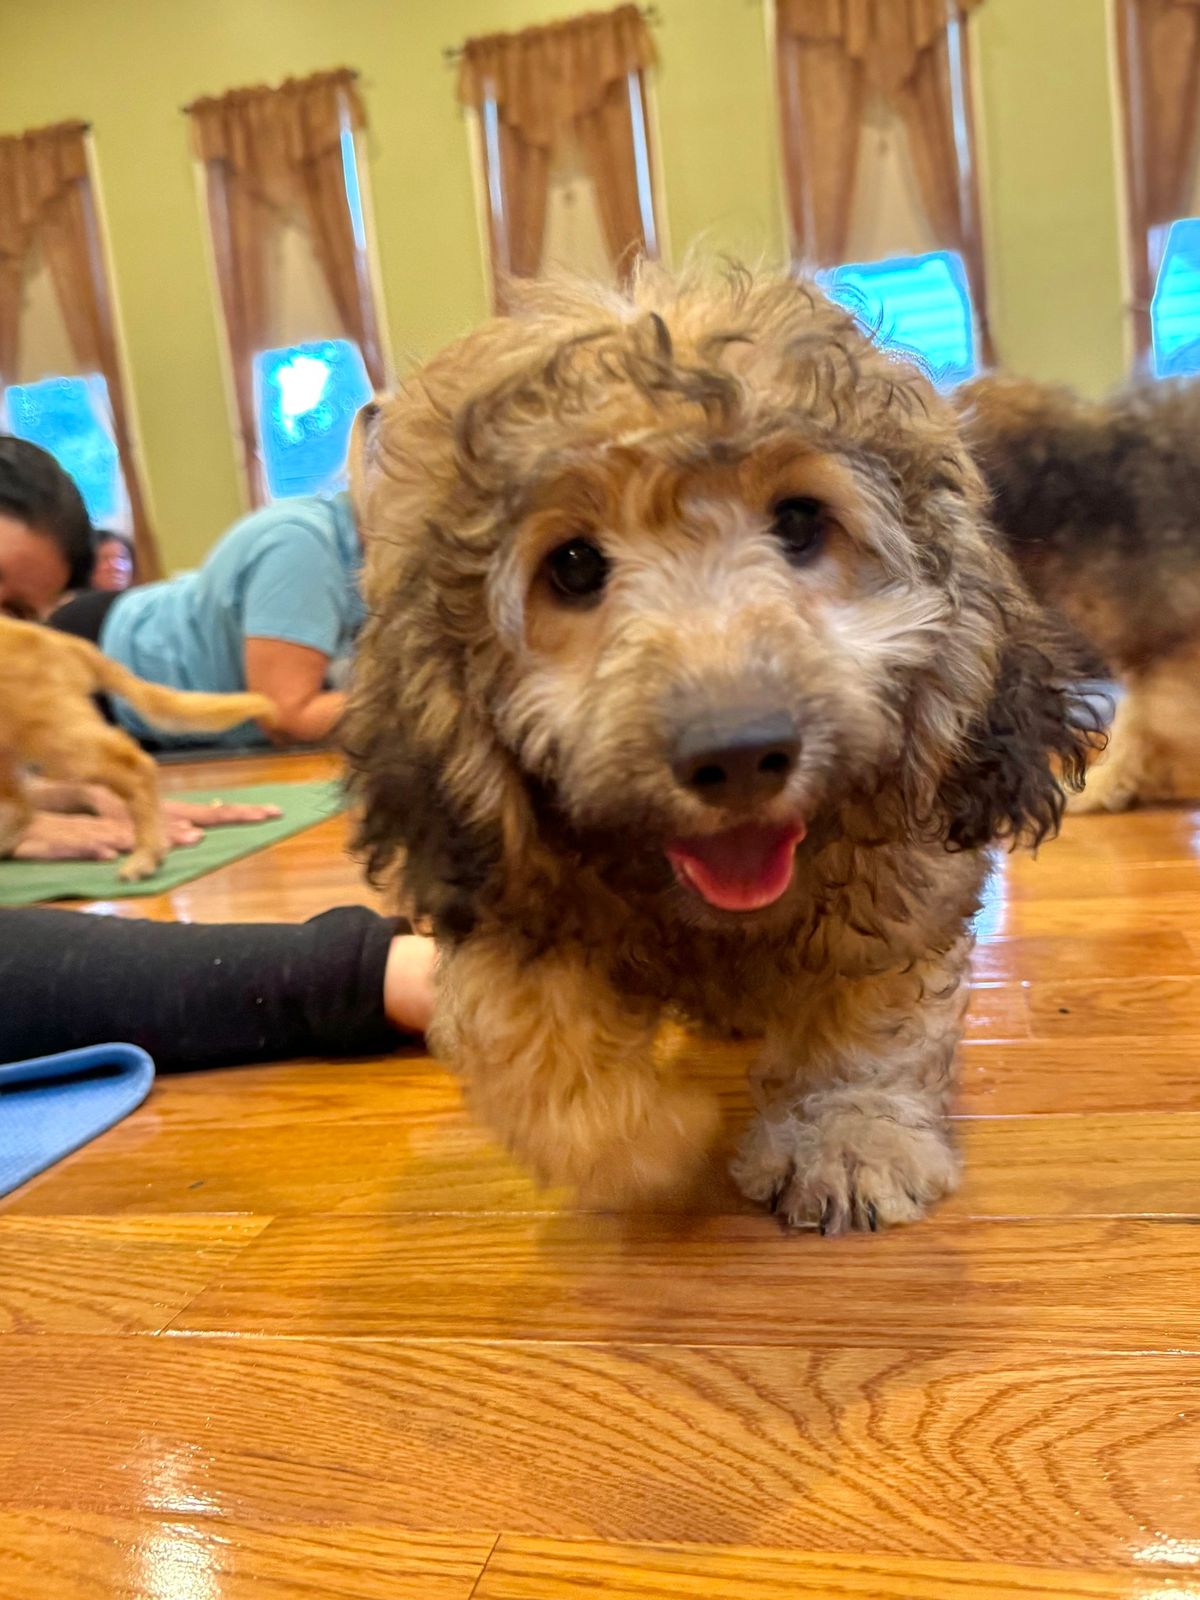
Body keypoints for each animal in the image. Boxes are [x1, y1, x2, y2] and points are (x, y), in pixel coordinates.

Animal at [345, 268, 1100, 1228]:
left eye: (801, 521)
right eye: (574, 566)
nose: (739, 754)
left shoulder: (902, 884)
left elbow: (872, 1010)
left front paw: (847, 1134)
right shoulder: (498, 880)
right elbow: (528, 1029)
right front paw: (652, 1143)